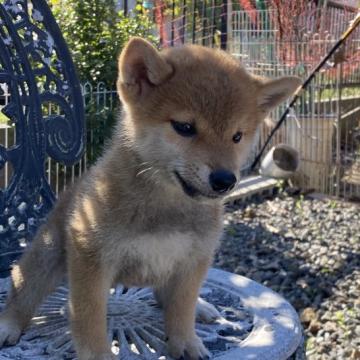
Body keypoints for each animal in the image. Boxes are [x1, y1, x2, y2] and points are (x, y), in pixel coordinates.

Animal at [0, 38, 300, 358]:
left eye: (237, 136)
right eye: (185, 127)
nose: (225, 180)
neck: (166, 206)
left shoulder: (193, 260)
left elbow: (181, 309)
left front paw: (186, 341)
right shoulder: (91, 260)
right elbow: (89, 320)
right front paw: (97, 352)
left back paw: (202, 307)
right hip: (46, 256)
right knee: (23, 294)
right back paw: (8, 324)